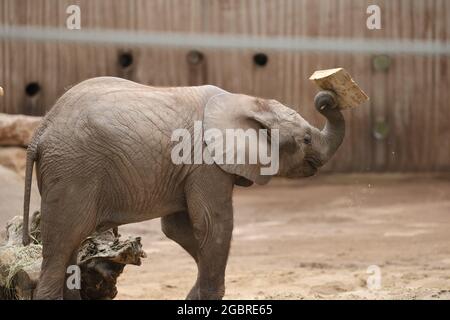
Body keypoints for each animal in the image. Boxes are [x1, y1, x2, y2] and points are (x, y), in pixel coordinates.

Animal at [22, 76, 344, 298]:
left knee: (69, 250)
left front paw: (194, 295)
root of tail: (41, 130)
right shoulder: (206, 163)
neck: (247, 102)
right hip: (73, 170)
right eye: (305, 139)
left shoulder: (187, 170)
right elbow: (214, 226)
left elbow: (178, 229)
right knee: (63, 244)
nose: (326, 97)